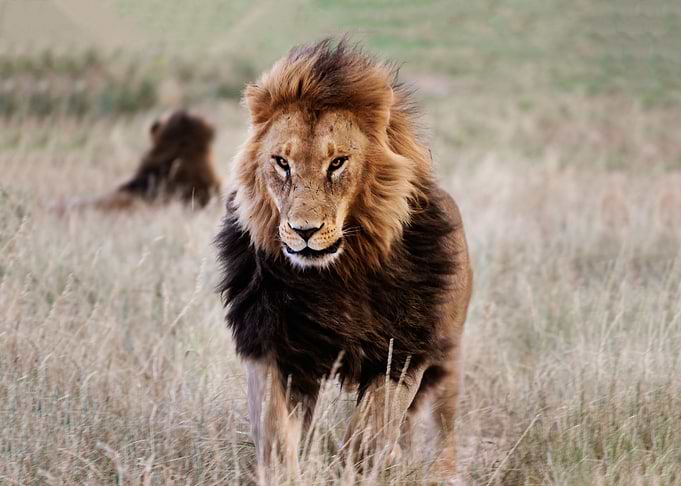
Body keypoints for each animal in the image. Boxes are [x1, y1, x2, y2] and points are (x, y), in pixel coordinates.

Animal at [216, 40, 473, 481]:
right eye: (281, 162)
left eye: (337, 163)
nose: (303, 231)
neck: (335, 278)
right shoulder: (270, 344)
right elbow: (274, 430)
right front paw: (284, 474)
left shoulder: (402, 352)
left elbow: (369, 431)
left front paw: (353, 469)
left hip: (448, 355)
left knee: (442, 423)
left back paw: (442, 471)